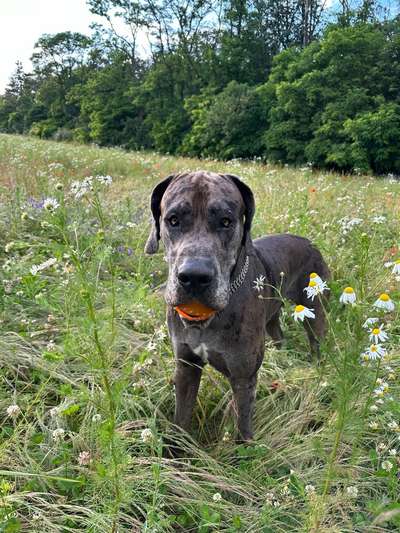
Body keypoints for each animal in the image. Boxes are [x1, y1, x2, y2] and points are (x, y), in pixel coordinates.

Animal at [145, 170, 330, 440]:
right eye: (173, 220)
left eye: (226, 221)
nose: (194, 276)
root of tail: (310, 243)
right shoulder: (186, 366)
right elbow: (181, 418)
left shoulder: (243, 378)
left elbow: (242, 428)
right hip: (272, 317)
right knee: (278, 333)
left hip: (314, 311)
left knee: (316, 339)